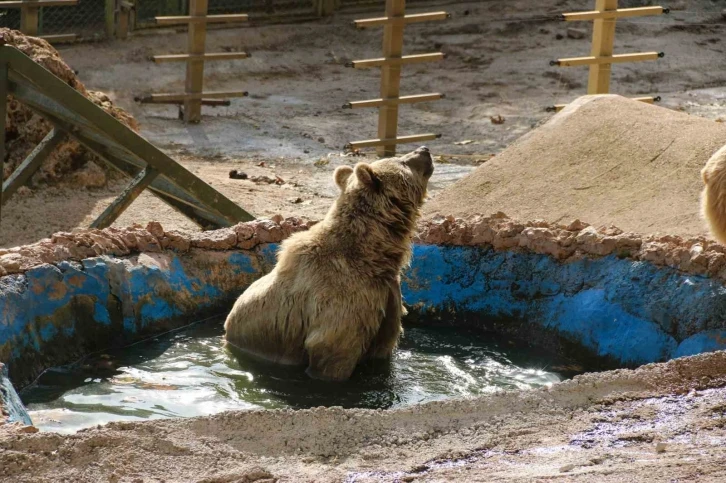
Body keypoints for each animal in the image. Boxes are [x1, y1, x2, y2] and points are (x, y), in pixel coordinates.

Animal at [225, 147, 436, 382]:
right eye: (402, 161)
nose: (424, 150)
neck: (371, 255)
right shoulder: (341, 301)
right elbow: (333, 350)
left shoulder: (385, 297)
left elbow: (385, 343)